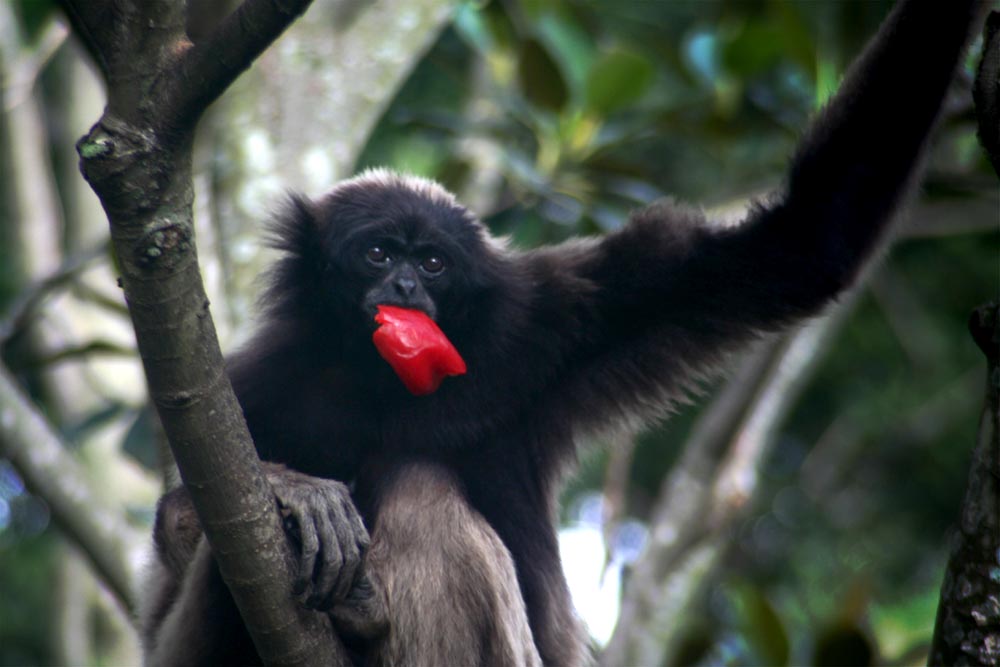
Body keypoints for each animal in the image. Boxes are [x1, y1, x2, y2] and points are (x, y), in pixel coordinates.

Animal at [141, 0, 984, 664]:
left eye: (434, 263)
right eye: (378, 254)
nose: (406, 288)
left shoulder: (550, 322)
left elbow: (802, 245)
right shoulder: (251, 383)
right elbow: (178, 543)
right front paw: (296, 490)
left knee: (419, 482)